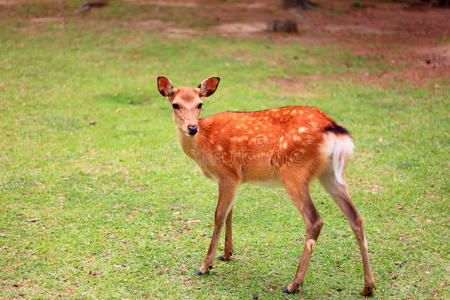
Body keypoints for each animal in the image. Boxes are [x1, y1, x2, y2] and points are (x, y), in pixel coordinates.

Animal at [156, 75, 374, 296]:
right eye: (175, 105)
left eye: (200, 104)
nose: (192, 128)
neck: (203, 142)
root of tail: (335, 132)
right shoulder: (236, 179)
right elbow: (230, 214)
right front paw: (227, 253)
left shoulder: (227, 174)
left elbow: (219, 216)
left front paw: (204, 266)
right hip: (331, 175)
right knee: (356, 217)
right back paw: (368, 286)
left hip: (294, 173)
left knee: (315, 220)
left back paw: (293, 284)